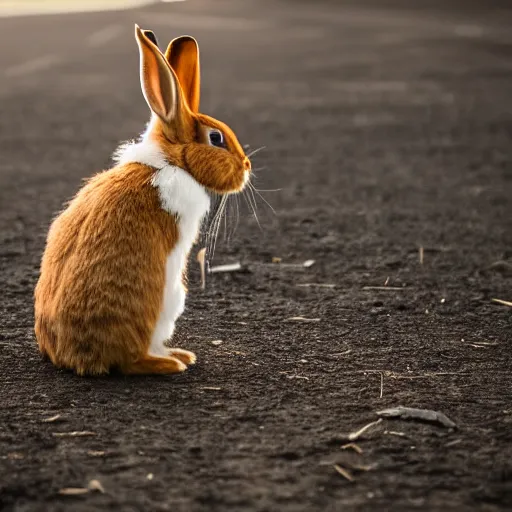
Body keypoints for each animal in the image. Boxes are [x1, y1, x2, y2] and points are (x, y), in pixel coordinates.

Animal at [33, 25, 251, 376]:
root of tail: (78, 359)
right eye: (216, 139)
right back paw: (172, 362)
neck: (172, 162)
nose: (246, 167)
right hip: (166, 300)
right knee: (132, 361)